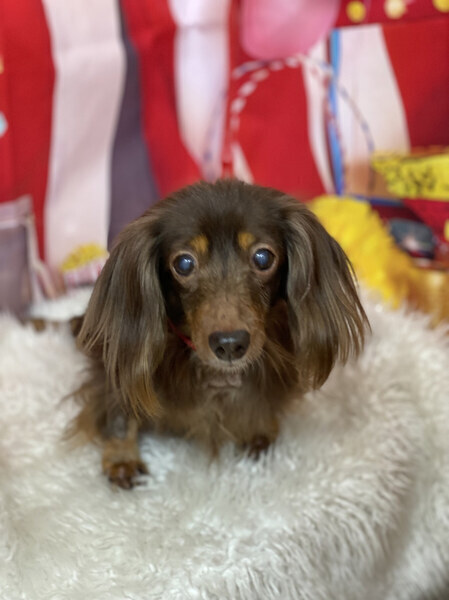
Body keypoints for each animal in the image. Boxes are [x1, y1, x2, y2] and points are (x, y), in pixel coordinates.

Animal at [72, 179, 369, 489]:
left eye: (263, 257)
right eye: (184, 263)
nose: (230, 344)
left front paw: (257, 430)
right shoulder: (117, 370)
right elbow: (121, 411)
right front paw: (122, 458)